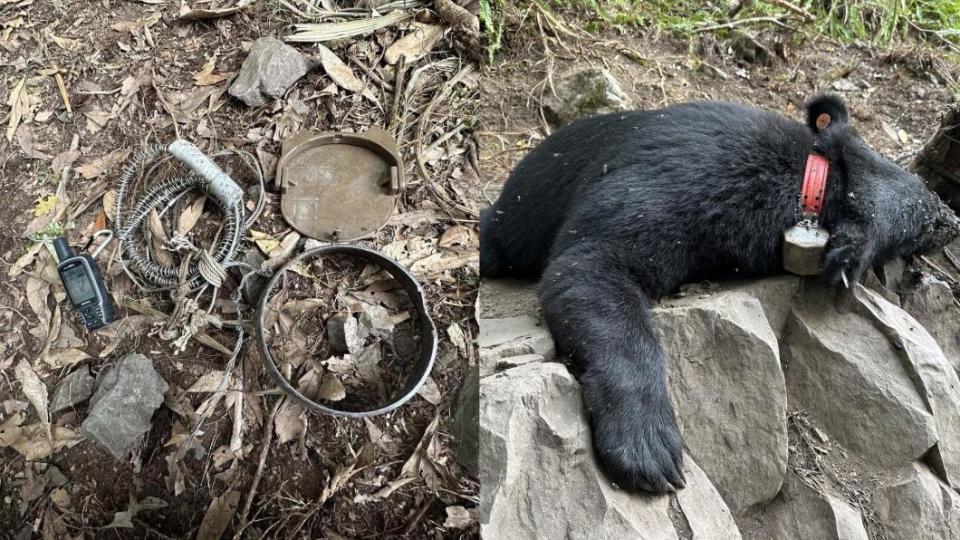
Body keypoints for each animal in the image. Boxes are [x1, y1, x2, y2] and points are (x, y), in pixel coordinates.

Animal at [480, 96, 960, 494]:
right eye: (928, 217)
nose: (953, 218)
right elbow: (590, 264)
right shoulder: (686, 184)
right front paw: (650, 452)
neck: (811, 183)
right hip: (512, 223)